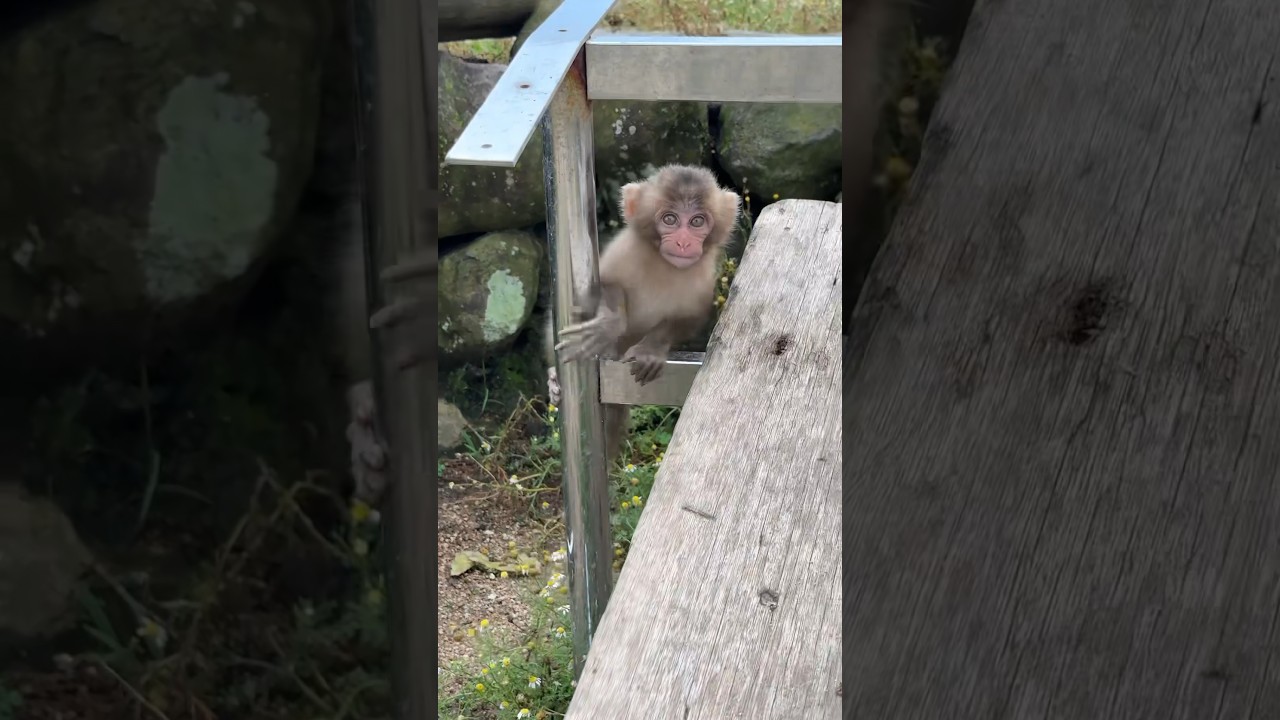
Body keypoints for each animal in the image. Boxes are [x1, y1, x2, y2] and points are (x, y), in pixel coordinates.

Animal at [548, 164, 742, 464]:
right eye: (670, 219)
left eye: (697, 222)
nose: (683, 243)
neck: (663, 264)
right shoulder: (625, 251)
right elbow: (606, 286)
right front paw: (608, 324)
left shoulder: (703, 279)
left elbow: (689, 318)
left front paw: (651, 349)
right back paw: (554, 383)